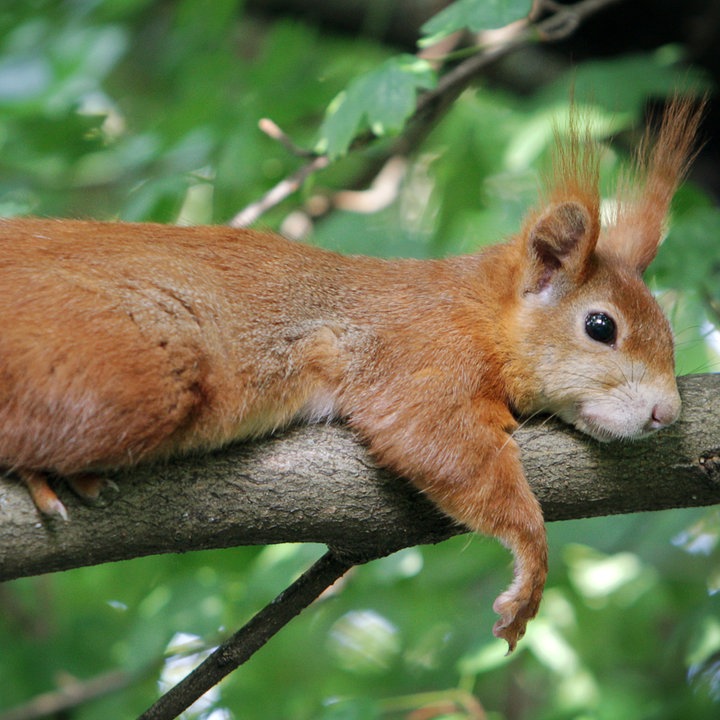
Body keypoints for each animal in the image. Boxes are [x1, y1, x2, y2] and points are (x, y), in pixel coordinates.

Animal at [0, 97, 700, 652]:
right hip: (132, 372)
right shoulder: (416, 356)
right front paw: (530, 564)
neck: (475, 312)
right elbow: (439, 443)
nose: (667, 412)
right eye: (600, 326)